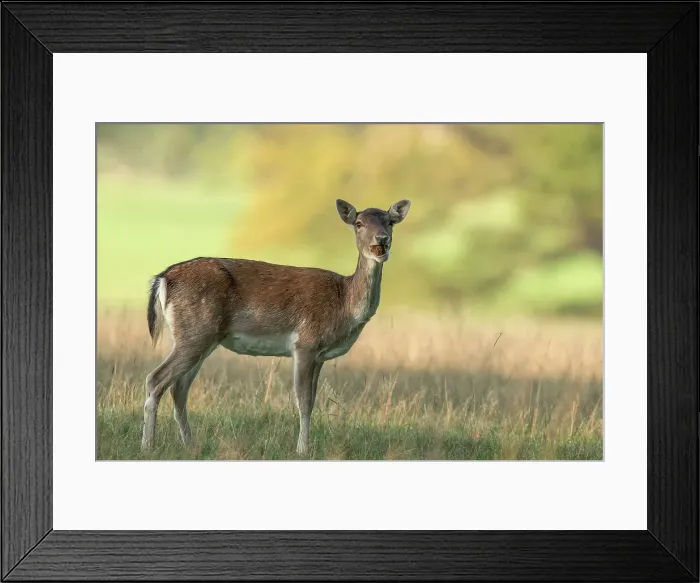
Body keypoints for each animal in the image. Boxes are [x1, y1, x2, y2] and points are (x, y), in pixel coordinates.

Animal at [142, 198, 411, 456]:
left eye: (390, 222)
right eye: (358, 223)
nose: (382, 240)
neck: (344, 304)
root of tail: (162, 278)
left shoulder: (320, 356)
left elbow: (313, 400)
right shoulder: (306, 343)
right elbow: (303, 401)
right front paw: (302, 450)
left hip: (200, 339)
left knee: (178, 388)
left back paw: (190, 445)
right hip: (195, 332)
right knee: (155, 379)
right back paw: (148, 445)